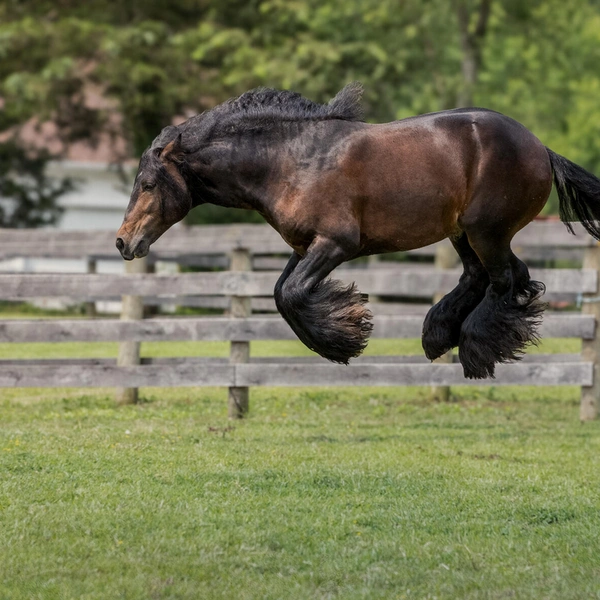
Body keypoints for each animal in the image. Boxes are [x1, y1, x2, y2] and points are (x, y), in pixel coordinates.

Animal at [115, 83, 600, 380]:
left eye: (149, 183)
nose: (123, 241)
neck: (288, 161)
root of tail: (541, 148)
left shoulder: (335, 243)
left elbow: (291, 294)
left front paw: (344, 338)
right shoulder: (303, 246)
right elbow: (281, 293)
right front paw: (344, 328)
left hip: (487, 231)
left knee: (504, 280)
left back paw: (475, 349)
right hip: (464, 233)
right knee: (491, 277)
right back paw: (438, 335)